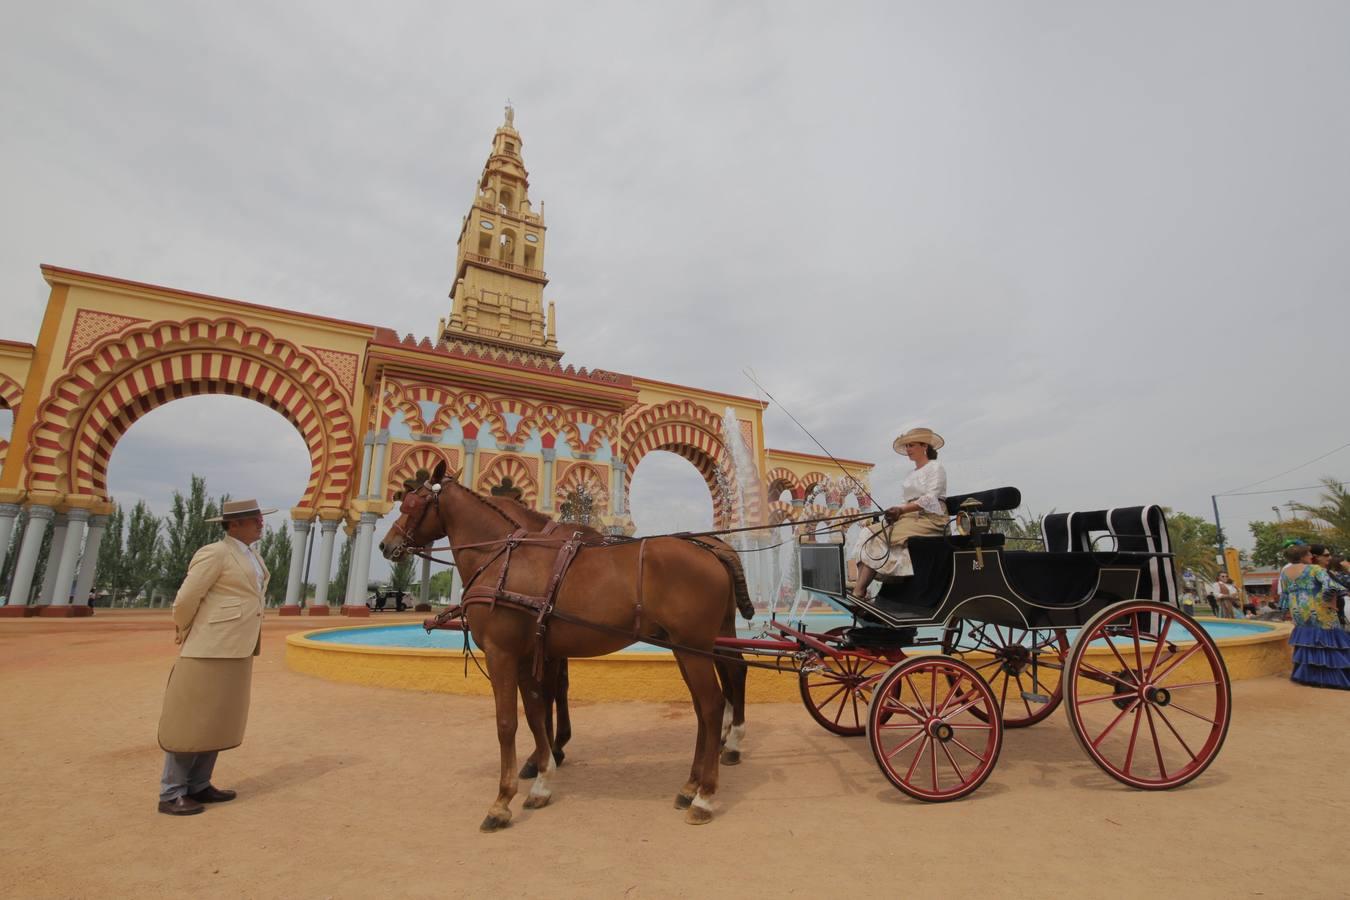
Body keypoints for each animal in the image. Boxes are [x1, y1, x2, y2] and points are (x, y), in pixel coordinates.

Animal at [386, 464, 756, 831]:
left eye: (411, 504)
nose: (386, 544)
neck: (502, 558)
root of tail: (711, 551)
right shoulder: (530, 654)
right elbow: (536, 712)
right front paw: (541, 779)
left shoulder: (501, 652)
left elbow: (507, 723)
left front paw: (503, 800)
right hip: (687, 646)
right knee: (705, 706)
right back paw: (691, 784)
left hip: (694, 647)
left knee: (712, 704)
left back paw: (705, 794)